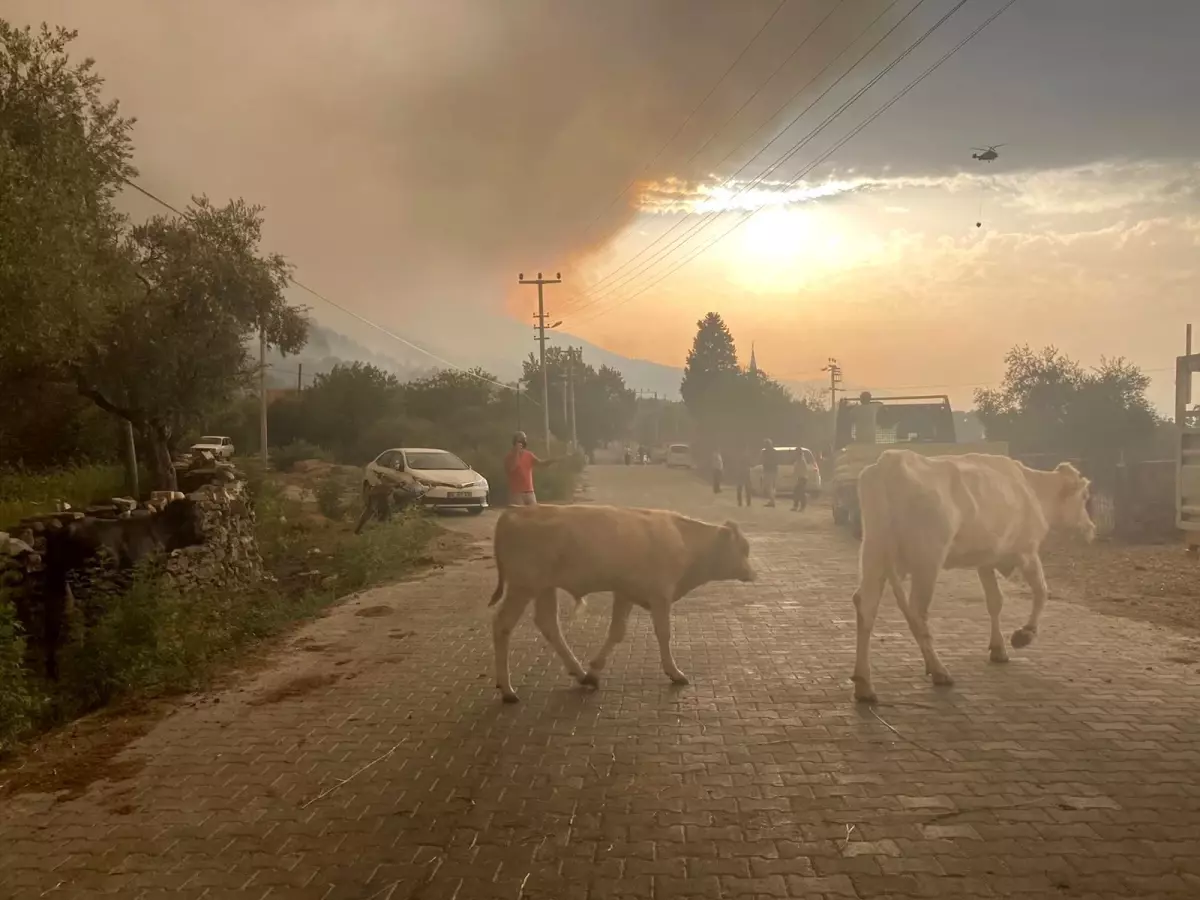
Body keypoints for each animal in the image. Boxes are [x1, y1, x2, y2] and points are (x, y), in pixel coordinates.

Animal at [484, 508, 748, 705]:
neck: (683, 538)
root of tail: (513, 512)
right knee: (503, 624)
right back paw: (508, 690)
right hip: (523, 587)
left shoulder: (625, 593)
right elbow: (664, 633)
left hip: (544, 588)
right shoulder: (660, 595)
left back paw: (580, 674)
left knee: (548, 624)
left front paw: (594, 670)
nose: (751, 572)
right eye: (743, 549)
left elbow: (616, 632)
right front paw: (675, 672)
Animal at [849, 451, 1094, 705]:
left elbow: (995, 600)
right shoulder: (1026, 552)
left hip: (873, 553)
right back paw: (938, 670)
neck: (1032, 488)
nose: (1091, 528)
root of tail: (891, 459)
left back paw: (864, 684)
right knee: (916, 611)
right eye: (1085, 496)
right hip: (927, 560)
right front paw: (1024, 635)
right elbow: (1042, 591)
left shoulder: (985, 559)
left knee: (866, 605)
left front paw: (998, 648)